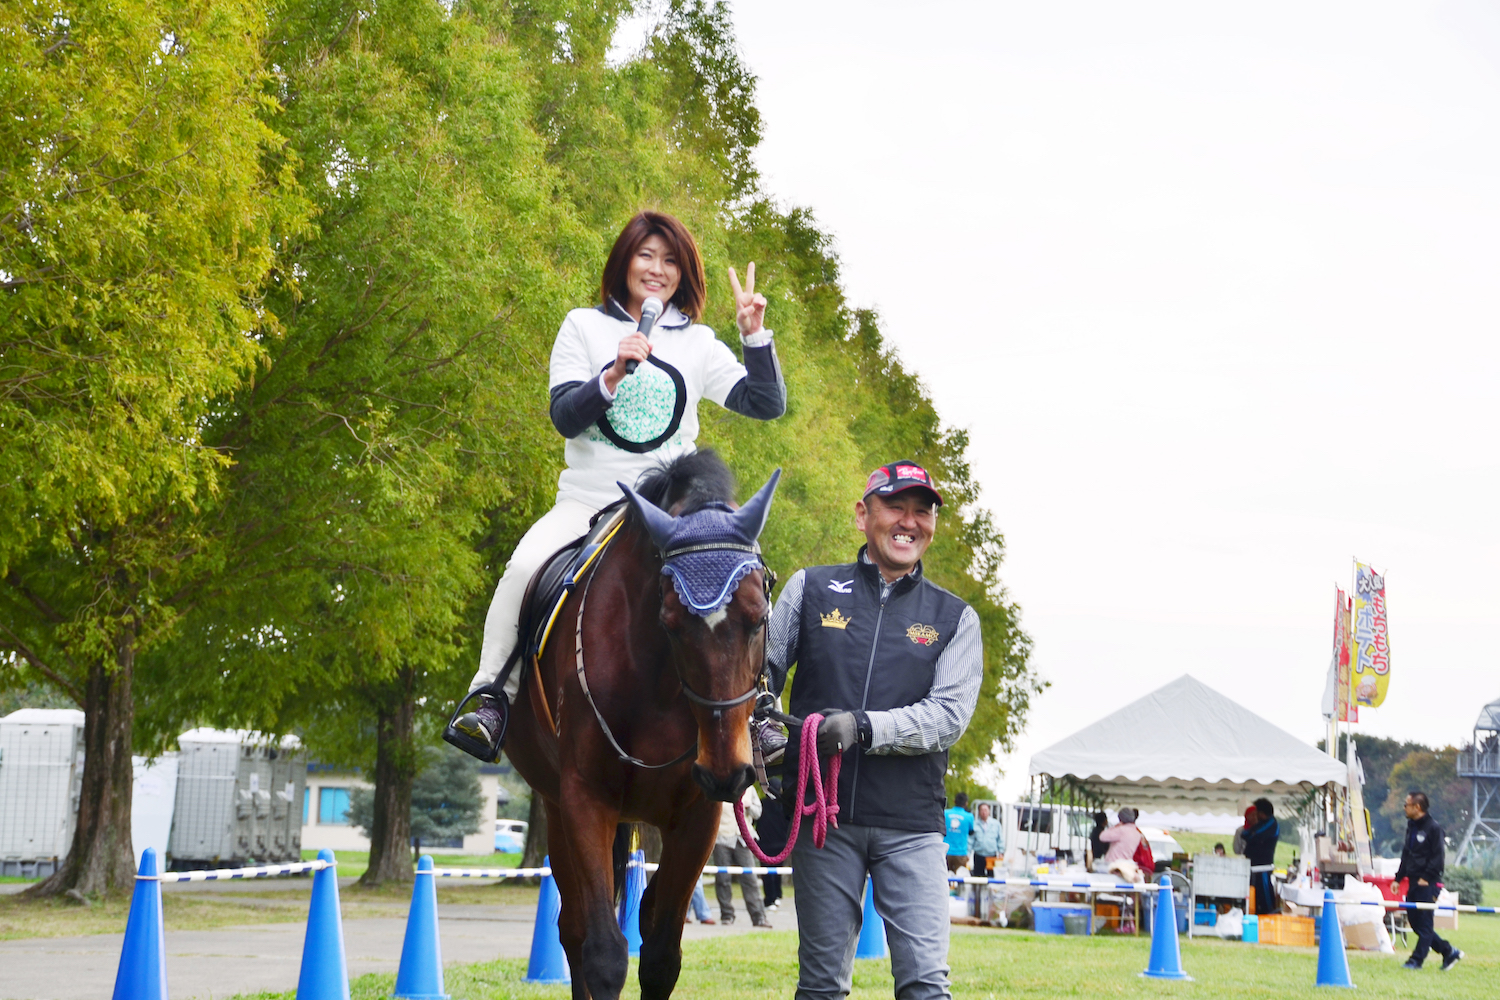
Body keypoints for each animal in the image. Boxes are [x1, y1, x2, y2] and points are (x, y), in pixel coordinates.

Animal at [507, 452, 780, 1000]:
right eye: (671, 619)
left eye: (758, 615)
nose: (726, 772)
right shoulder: (585, 799)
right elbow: (604, 952)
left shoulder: (697, 816)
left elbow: (659, 954)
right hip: (555, 805)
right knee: (574, 929)